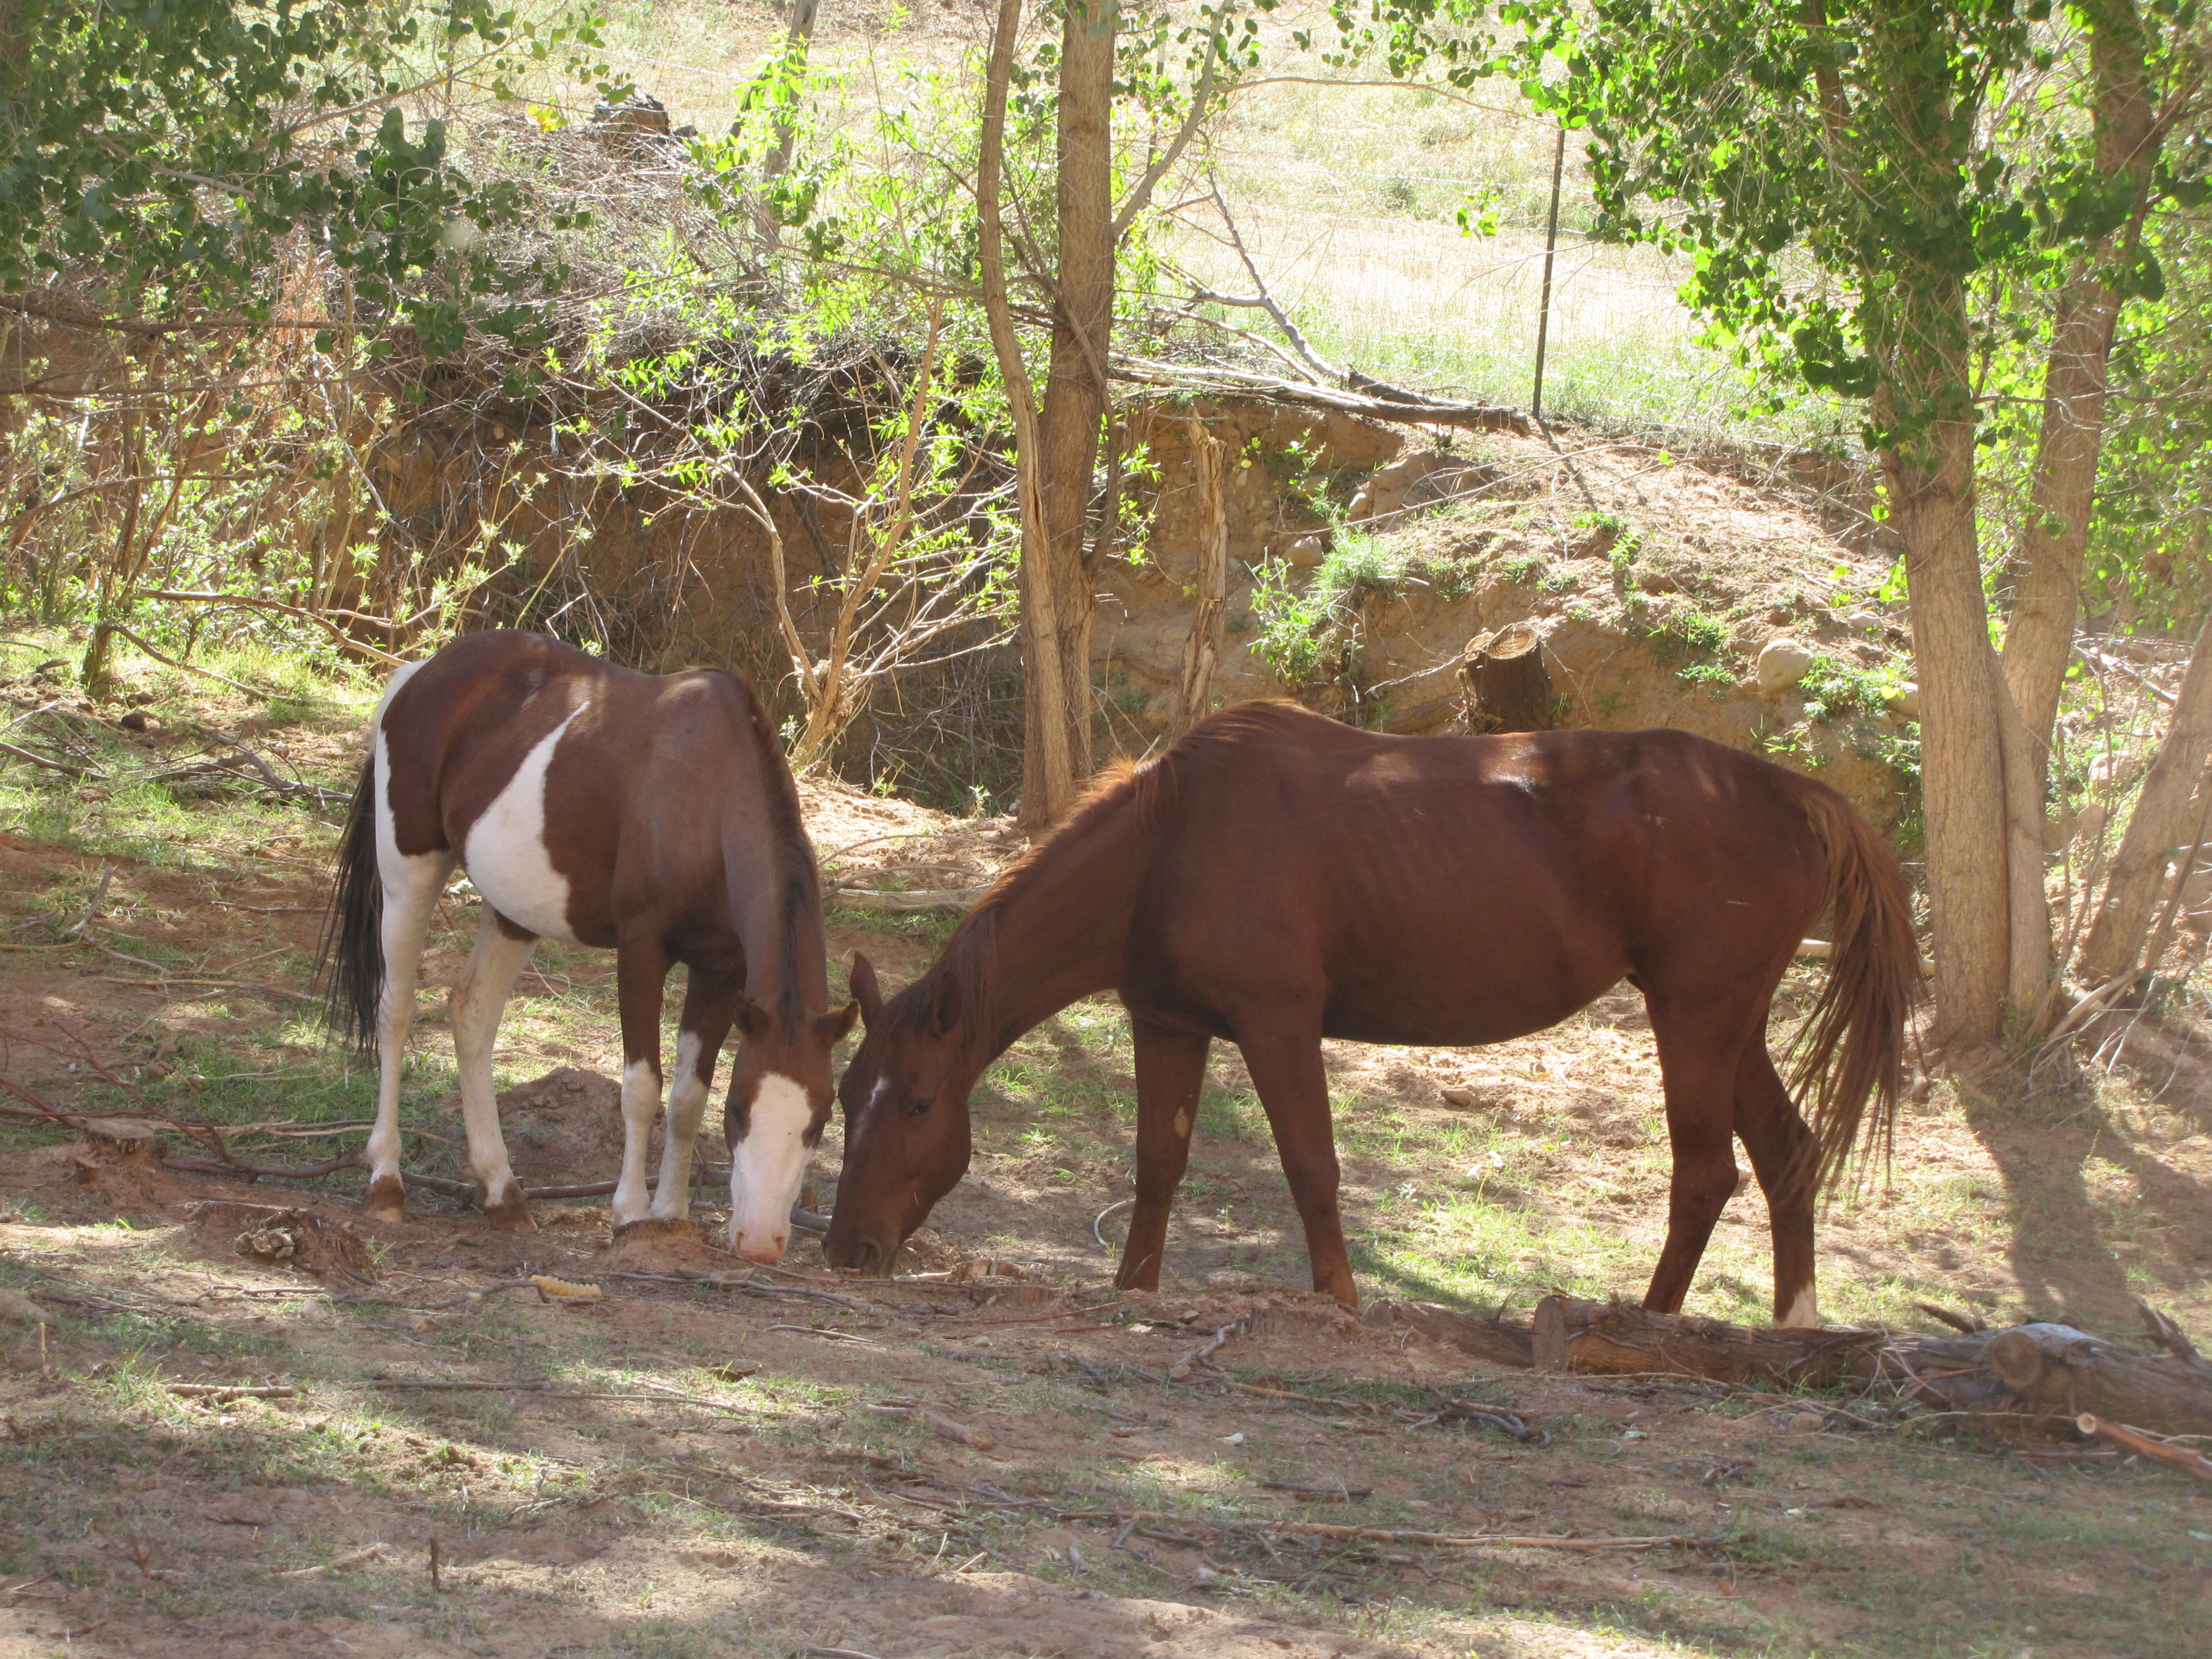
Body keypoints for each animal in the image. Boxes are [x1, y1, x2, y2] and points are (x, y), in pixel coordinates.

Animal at [321, 630, 856, 1258]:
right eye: (741, 1110)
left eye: (819, 1121)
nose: (760, 1242)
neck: (706, 794)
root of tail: (419, 674)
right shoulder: (642, 948)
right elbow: (643, 1088)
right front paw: (629, 1214)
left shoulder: (719, 971)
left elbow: (686, 1098)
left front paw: (670, 1215)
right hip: (410, 873)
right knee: (396, 1009)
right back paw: (386, 1182)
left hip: (512, 912)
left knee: (471, 1014)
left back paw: (502, 1192)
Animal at [825, 700, 1917, 1324]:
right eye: (844, 1097)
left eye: (918, 1104)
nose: (847, 1251)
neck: (1170, 843)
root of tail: (1796, 794)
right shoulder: (1169, 1026)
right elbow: (1156, 1168)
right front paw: (1134, 1291)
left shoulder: (1279, 1025)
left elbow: (1312, 1169)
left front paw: (1339, 1303)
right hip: (1725, 1025)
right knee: (1786, 1156)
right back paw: (1792, 1332)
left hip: (1695, 1020)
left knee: (1704, 1176)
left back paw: (1647, 1326)